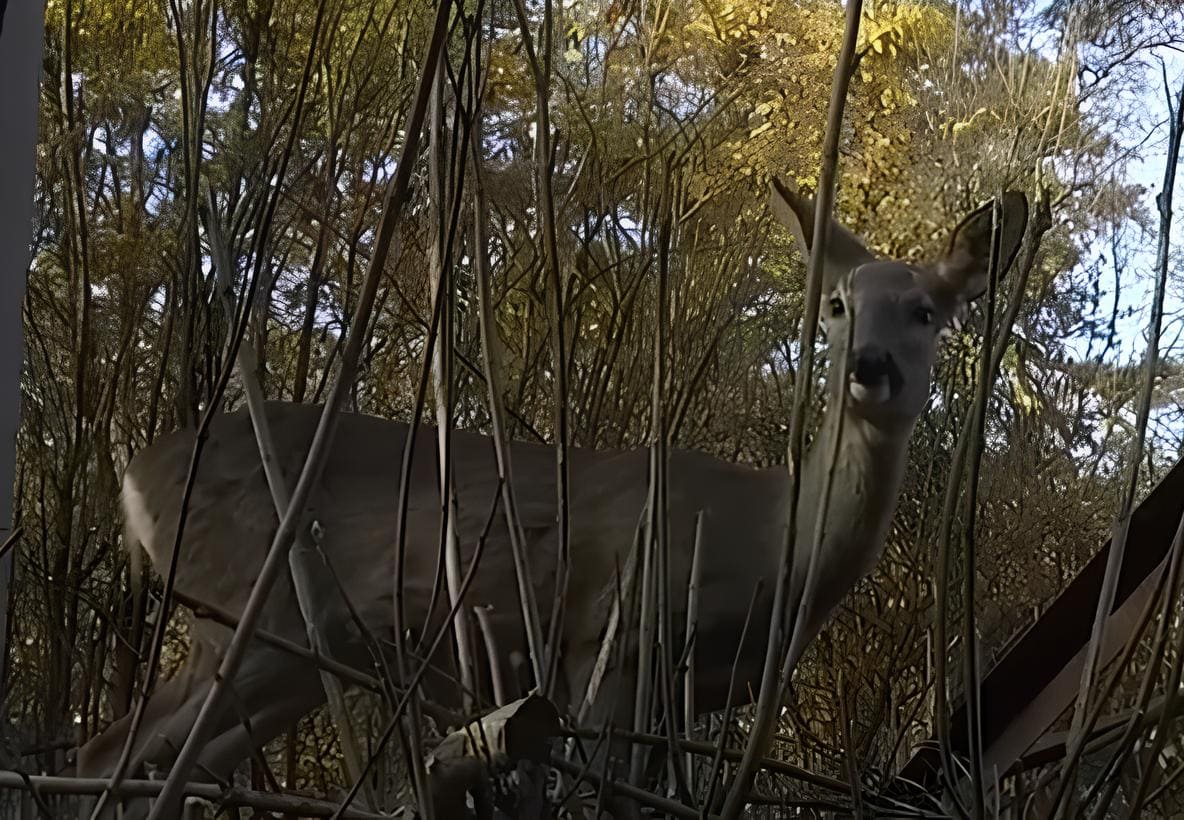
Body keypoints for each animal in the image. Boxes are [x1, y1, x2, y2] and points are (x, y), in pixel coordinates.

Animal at [74, 182, 1022, 814]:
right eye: (834, 305)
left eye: (927, 310)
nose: (870, 366)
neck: (768, 543)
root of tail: (133, 477)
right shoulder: (611, 636)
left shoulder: (680, 701)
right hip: (248, 605)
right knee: (107, 751)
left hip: (296, 654)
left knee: (160, 761)